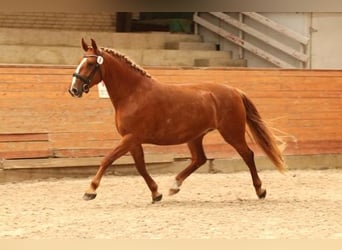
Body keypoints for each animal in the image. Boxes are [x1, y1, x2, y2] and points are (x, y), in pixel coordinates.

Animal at [69, 38, 286, 203]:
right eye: (80, 62)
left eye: (90, 64)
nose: (74, 89)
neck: (134, 94)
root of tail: (234, 91)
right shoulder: (133, 141)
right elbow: (141, 167)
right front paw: (156, 193)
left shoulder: (131, 138)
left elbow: (107, 159)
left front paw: (90, 190)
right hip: (195, 136)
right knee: (199, 159)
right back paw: (174, 186)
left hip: (232, 133)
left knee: (248, 155)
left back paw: (260, 190)